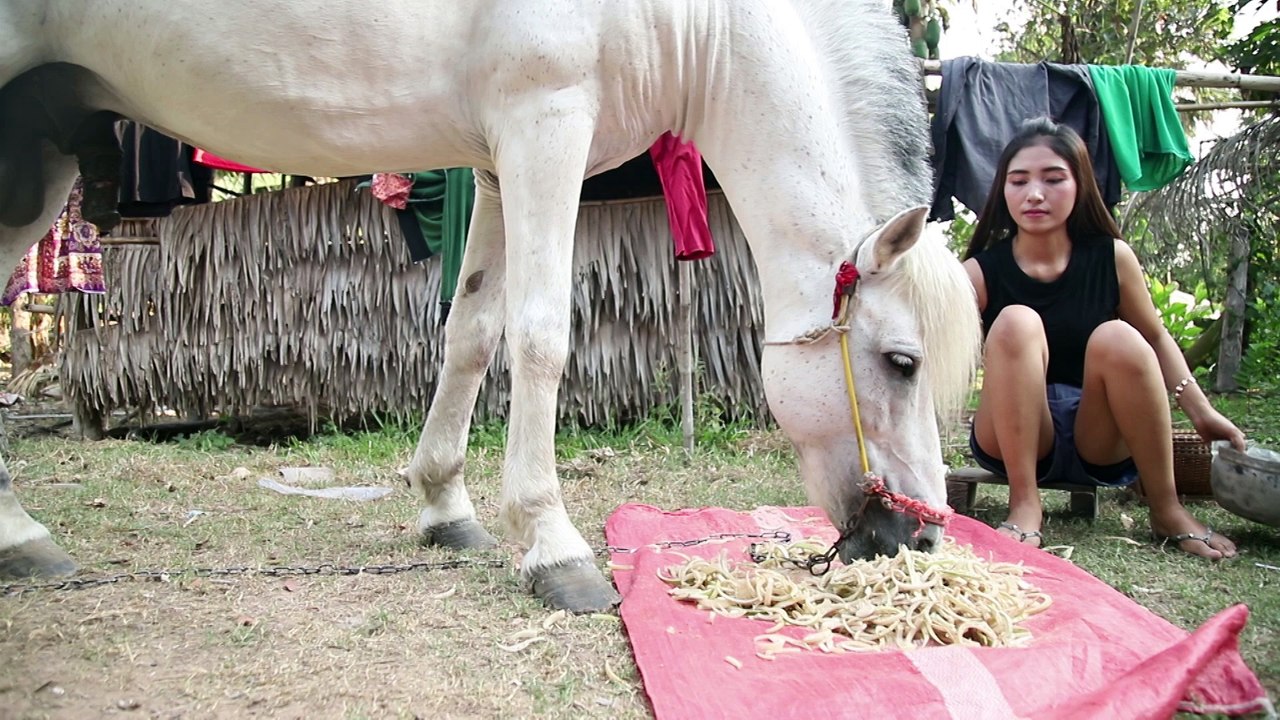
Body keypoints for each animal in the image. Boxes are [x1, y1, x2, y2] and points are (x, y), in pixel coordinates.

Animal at [0, 0, 981, 612]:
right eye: (902, 362)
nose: (921, 540)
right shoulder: (546, 124)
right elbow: (541, 335)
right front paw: (553, 545)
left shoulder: (499, 166)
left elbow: (470, 332)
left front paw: (445, 506)